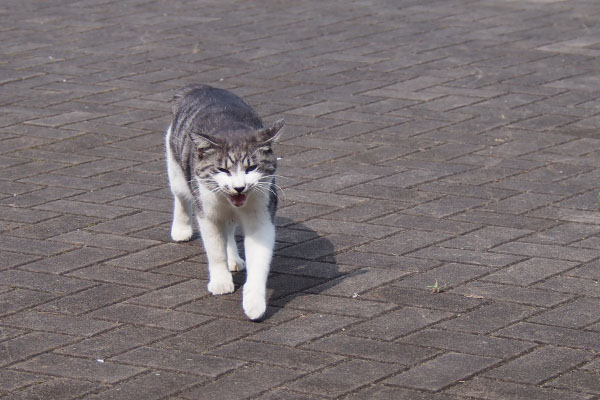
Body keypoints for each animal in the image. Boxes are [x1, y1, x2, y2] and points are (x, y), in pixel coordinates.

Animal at [165, 85, 284, 322]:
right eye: (222, 170)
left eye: (251, 168)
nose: (239, 187)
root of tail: (200, 87)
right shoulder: (208, 214)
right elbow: (215, 250)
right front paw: (221, 282)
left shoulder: (262, 215)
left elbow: (259, 261)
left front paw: (254, 302)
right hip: (176, 170)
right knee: (181, 198)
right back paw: (181, 230)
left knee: (228, 230)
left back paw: (234, 258)